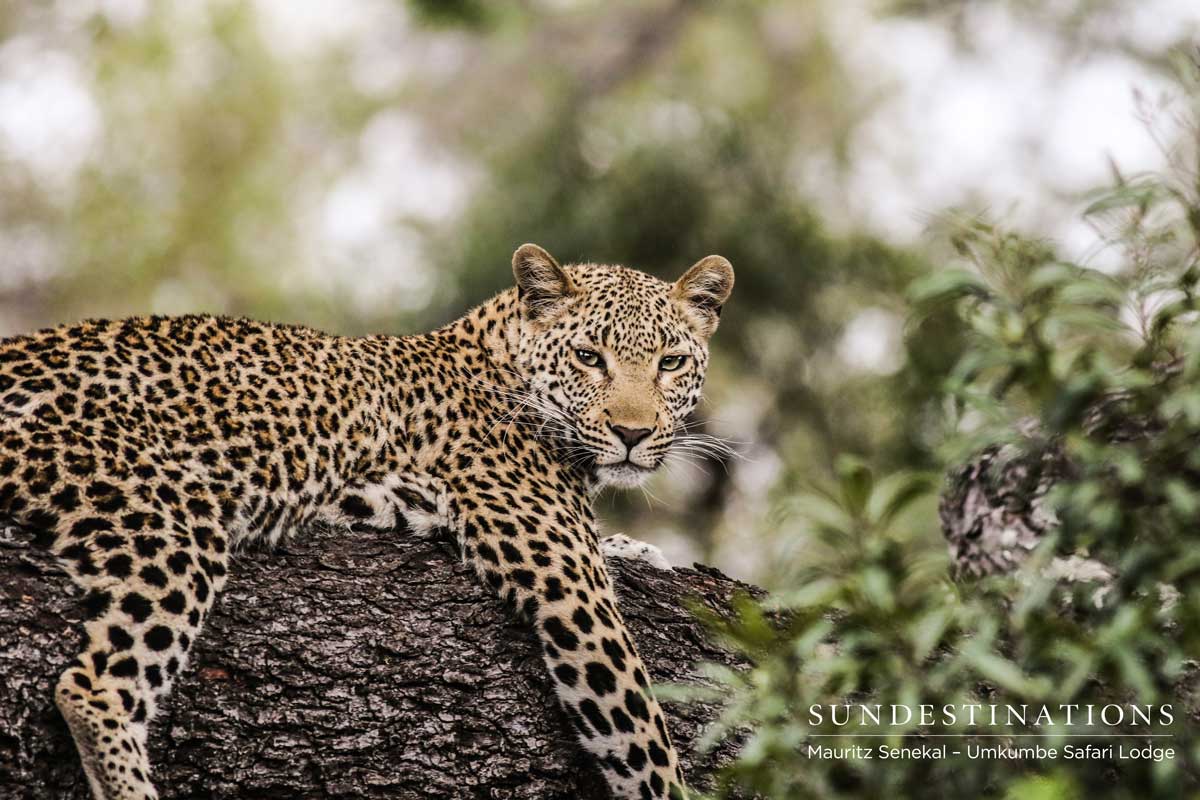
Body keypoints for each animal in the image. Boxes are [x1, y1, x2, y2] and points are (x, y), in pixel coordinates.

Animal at [0, 243, 734, 800]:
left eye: (670, 363)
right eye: (588, 358)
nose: (633, 434)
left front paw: (640, 548)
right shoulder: (570, 590)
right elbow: (645, 742)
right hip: (171, 516)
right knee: (94, 687)